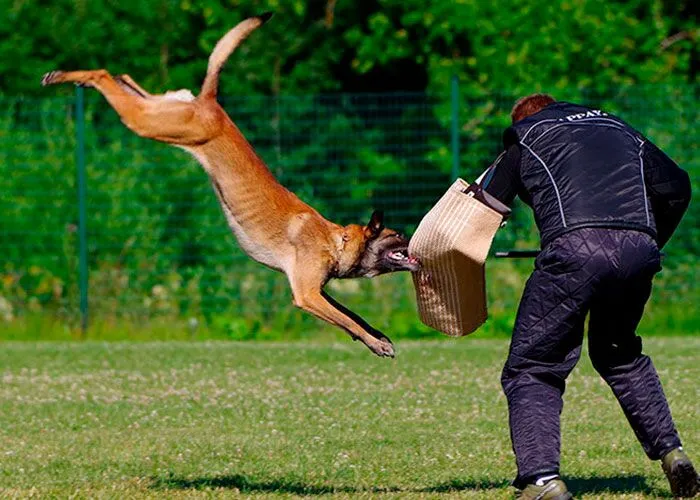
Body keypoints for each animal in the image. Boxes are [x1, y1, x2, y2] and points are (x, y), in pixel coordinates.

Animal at [42, 11, 422, 356]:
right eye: (399, 236)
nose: (418, 244)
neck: (336, 240)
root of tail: (210, 102)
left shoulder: (316, 290)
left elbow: (352, 315)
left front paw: (378, 336)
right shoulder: (307, 294)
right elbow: (347, 319)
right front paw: (377, 343)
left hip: (162, 110)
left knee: (124, 77)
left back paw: (75, 77)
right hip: (152, 123)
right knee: (106, 75)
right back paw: (63, 75)